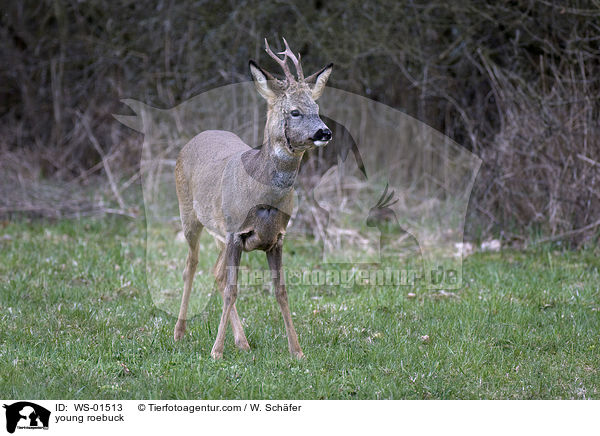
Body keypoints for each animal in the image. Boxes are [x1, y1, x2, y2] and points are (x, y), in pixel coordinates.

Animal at [172, 38, 332, 358]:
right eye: (294, 111)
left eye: (317, 107)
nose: (325, 132)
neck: (263, 197)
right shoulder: (236, 232)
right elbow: (232, 289)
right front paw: (216, 351)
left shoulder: (277, 238)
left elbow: (280, 291)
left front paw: (297, 350)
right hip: (189, 215)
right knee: (190, 266)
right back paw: (180, 332)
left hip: (219, 233)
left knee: (216, 272)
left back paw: (242, 341)